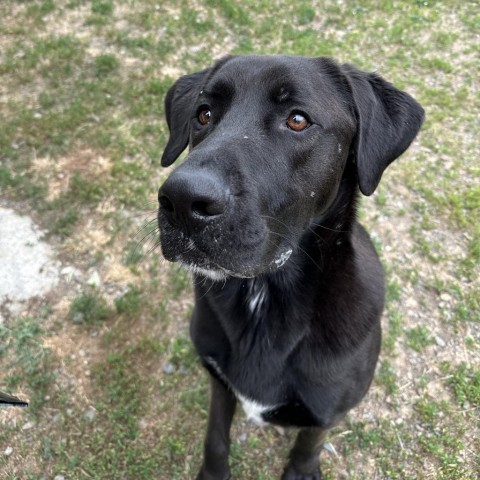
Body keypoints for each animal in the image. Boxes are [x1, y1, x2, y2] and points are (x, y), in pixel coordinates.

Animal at [158, 54, 424, 478]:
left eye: (297, 120)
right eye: (203, 113)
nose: (181, 201)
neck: (263, 297)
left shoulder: (327, 411)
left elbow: (308, 443)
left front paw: (301, 468)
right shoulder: (219, 381)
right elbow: (216, 435)